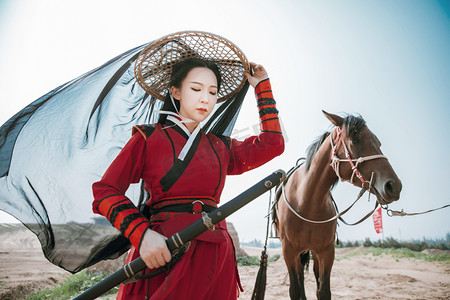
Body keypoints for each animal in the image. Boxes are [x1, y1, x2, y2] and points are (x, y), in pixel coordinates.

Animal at [272, 112, 402, 300]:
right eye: (355, 139)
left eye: (378, 142)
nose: (393, 186)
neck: (306, 202)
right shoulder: (288, 251)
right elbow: (295, 290)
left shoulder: (327, 251)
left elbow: (323, 290)